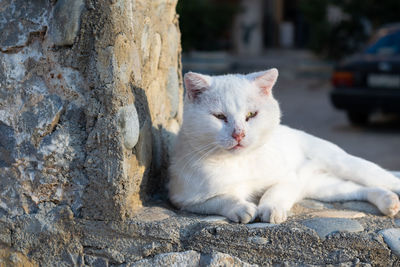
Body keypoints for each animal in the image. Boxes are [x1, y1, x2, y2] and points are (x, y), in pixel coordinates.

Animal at [167, 69, 400, 224]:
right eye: (220, 117)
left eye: (251, 115)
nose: (238, 134)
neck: (240, 162)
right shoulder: (185, 200)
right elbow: (222, 198)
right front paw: (242, 208)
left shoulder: (289, 178)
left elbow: (275, 191)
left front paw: (271, 209)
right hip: (325, 188)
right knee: (360, 189)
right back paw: (389, 202)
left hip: (348, 166)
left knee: (385, 180)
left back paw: (392, 200)